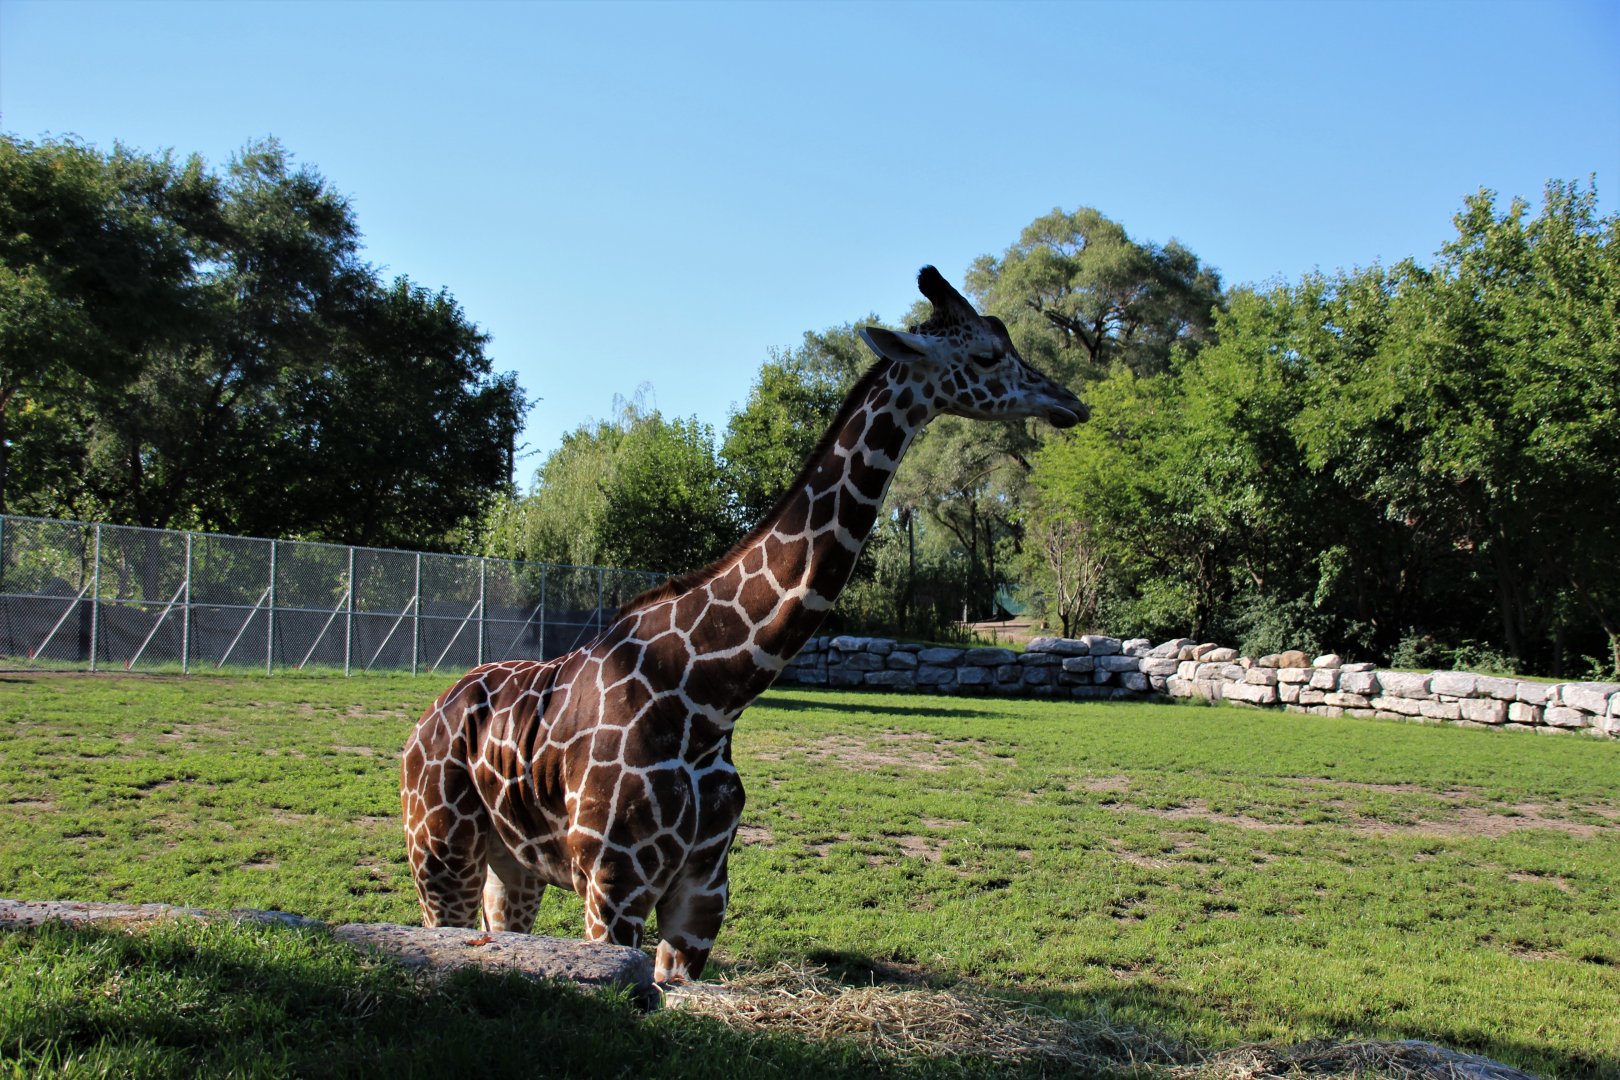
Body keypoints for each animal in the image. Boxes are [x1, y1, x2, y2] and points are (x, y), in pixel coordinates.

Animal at [401, 266, 1087, 984]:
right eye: (986, 353)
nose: (1069, 400)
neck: (713, 697)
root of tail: (429, 713)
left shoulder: (702, 896)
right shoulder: (614, 885)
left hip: (512, 864)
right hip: (440, 853)